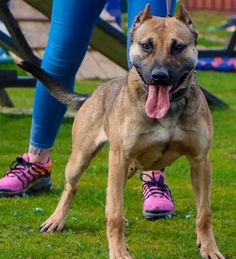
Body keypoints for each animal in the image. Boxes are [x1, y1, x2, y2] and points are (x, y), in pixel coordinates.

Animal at [19, 4, 224, 259]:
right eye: (146, 45)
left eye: (178, 47)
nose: (159, 76)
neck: (167, 112)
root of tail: (92, 94)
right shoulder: (119, 157)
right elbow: (115, 213)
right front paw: (118, 250)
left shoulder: (200, 162)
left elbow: (204, 214)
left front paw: (208, 247)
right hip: (82, 160)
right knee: (72, 188)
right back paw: (57, 219)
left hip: (129, 166)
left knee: (111, 193)